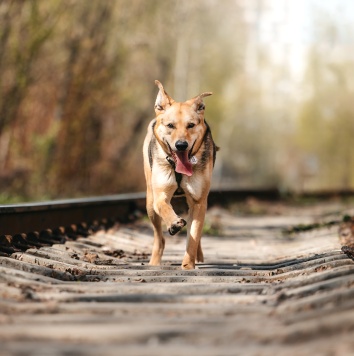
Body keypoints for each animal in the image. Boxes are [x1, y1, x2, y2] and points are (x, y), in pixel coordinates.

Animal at [142, 80, 217, 270]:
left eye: (191, 125)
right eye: (170, 125)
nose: (181, 145)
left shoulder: (199, 202)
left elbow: (194, 235)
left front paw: (188, 265)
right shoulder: (160, 194)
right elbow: (164, 206)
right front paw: (174, 223)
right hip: (149, 203)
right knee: (159, 238)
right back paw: (155, 260)